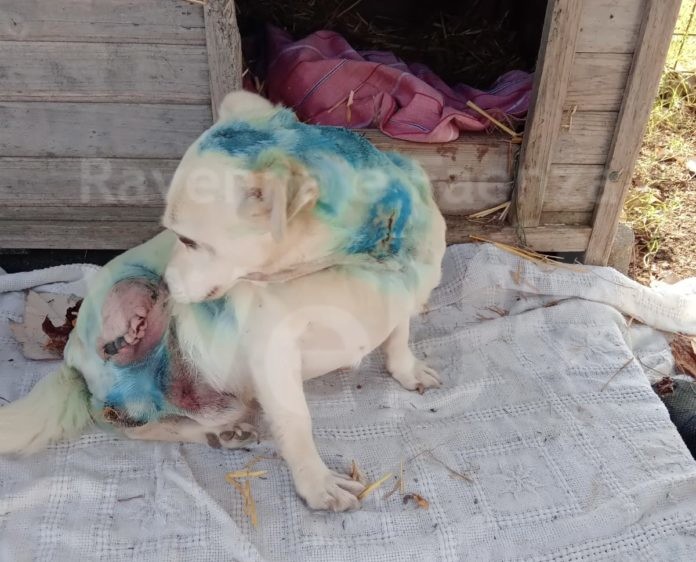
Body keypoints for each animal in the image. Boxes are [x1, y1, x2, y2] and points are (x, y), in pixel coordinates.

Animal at [0, 92, 446, 512]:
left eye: (188, 239)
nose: (166, 284)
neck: (368, 259)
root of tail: (70, 357)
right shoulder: (274, 354)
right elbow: (297, 423)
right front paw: (317, 485)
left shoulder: (403, 293)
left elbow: (398, 336)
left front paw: (406, 370)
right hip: (130, 300)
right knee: (120, 423)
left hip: (226, 400)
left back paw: (221, 432)